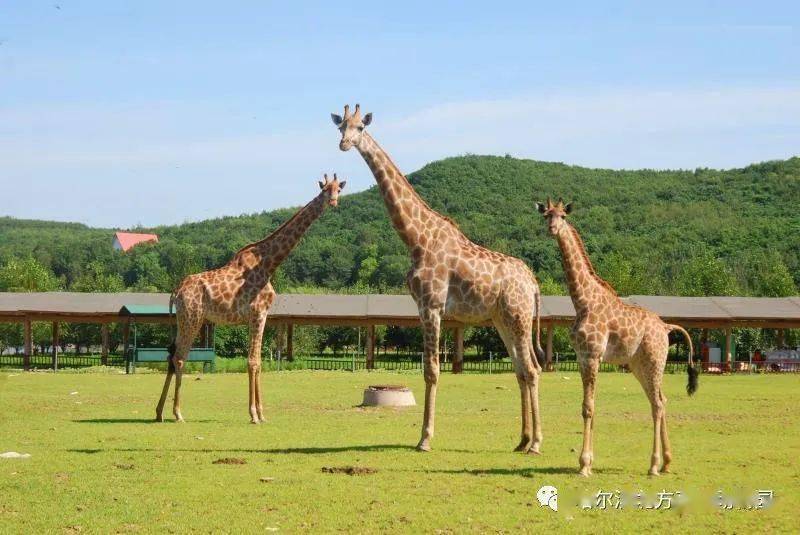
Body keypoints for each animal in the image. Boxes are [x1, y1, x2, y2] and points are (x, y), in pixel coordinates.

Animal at [155, 174, 346, 426]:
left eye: (338, 190)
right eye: (325, 190)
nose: (333, 202)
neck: (268, 265)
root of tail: (176, 291)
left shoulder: (260, 316)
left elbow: (258, 361)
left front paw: (262, 414)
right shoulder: (257, 313)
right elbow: (253, 361)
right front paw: (254, 414)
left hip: (182, 319)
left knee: (170, 355)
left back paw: (159, 412)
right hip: (192, 318)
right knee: (179, 358)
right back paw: (177, 413)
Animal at [328, 103, 548, 452]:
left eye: (360, 127)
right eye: (340, 127)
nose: (344, 144)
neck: (417, 239)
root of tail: (534, 283)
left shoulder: (432, 305)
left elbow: (431, 370)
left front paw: (424, 439)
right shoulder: (420, 307)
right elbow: (427, 368)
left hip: (519, 315)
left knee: (533, 369)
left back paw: (536, 443)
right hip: (502, 319)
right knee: (521, 370)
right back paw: (522, 440)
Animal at [536, 200, 700, 478]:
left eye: (563, 215)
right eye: (546, 215)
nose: (552, 229)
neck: (582, 301)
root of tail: (666, 327)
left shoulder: (593, 355)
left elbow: (588, 407)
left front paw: (584, 465)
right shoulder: (583, 357)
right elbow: (589, 406)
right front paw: (589, 462)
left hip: (655, 361)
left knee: (657, 403)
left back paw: (654, 465)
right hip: (639, 365)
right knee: (661, 400)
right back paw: (667, 462)